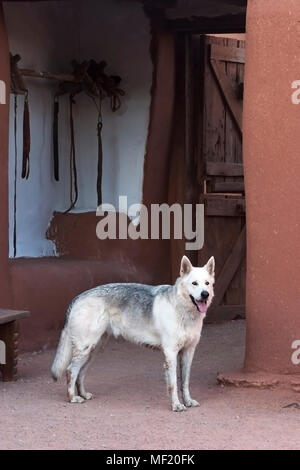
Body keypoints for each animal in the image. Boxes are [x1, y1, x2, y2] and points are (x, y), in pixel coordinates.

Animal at [52, 253, 216, 412]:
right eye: (194, 283)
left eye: (207, 283)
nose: (205, 294)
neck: (183, 311)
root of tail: (78, 297)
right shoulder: (170, 353)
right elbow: (173, 385)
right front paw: (176, 405)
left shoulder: (188, 352)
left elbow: (185, 383)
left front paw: (188, 401)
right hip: (86, 349)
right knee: (70, 371)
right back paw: (73, 398)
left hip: (94, 351)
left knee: (80, 373)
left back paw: (83, 394)